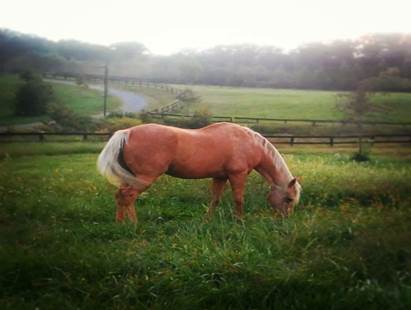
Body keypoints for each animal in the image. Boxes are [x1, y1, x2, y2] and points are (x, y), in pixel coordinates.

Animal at [97, 121, 302, 223]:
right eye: (288, 199)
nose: (286, 220)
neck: (249, 142)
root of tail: (127, 132)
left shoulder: (220, 177)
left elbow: (215, 199)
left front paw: (207, 221)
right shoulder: (237, 175)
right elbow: (238, 199)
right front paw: (240, 222)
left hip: (130, 177)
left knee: (120, 195)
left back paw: (120, 223)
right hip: (144, 178)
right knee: (129, 196)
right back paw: (134, 224)